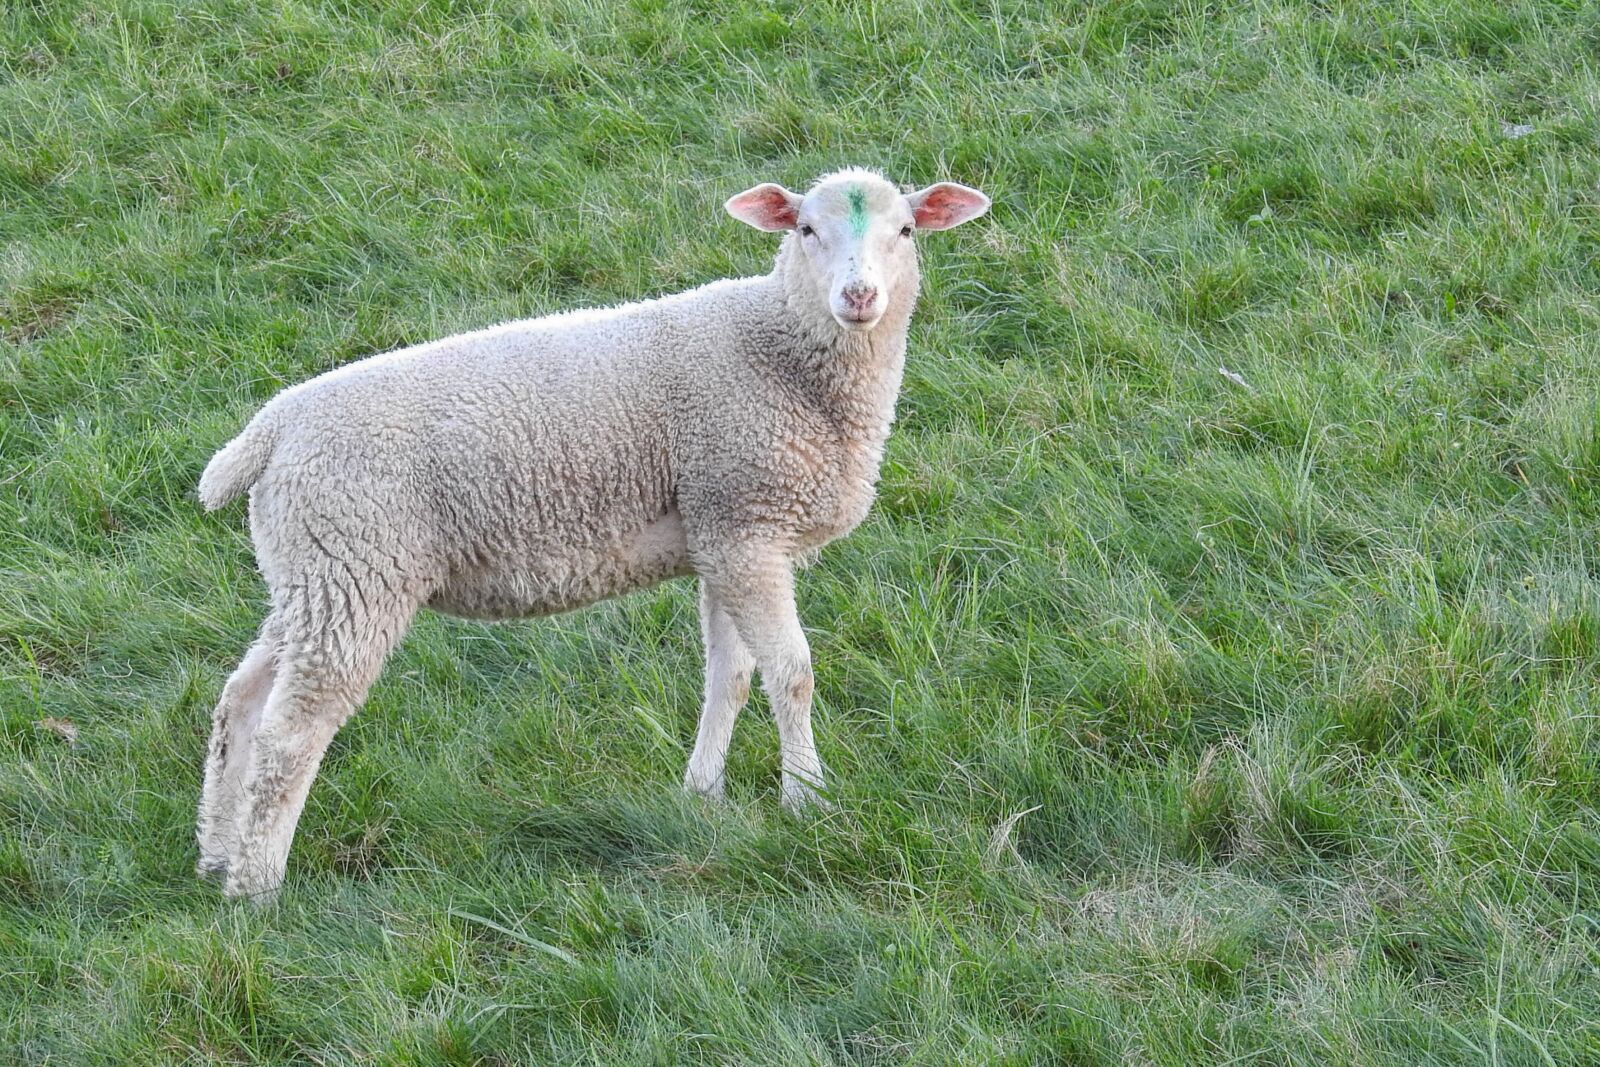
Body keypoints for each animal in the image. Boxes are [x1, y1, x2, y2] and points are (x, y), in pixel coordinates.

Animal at [195, 167, 991, 899]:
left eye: (906, 232)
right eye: (805, 230)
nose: (859, 298)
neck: (784, 351)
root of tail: (270, 430)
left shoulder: (721, 531)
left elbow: (729, 678)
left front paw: (702, 793)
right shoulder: (747, 524)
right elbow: (791, 674)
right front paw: (808, 799)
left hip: (313, 575)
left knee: (243, 700)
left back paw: (216, 853)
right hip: (355, 570)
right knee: (290, 732)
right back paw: (257, 886)